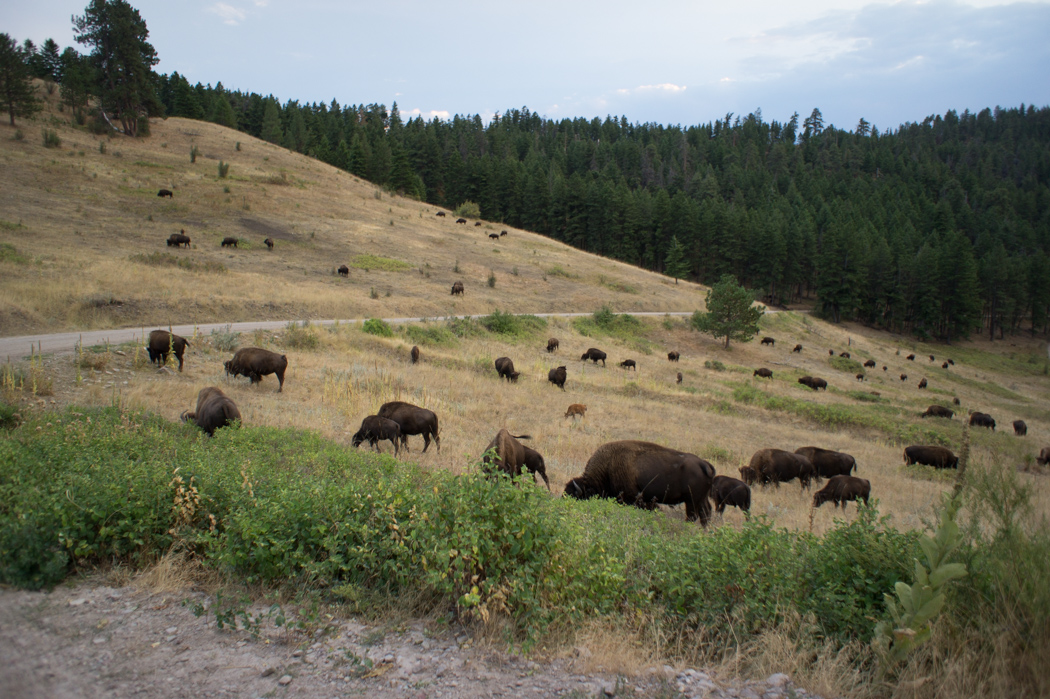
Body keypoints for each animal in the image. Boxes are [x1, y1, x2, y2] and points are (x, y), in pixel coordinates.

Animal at [562, 440, 718, 522]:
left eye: (574, 496)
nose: (564, 507)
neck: (608, 466)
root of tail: (704, 464)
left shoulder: (634, 498)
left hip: (691, 501)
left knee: (693, 516)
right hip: (700, 500)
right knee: (706, 513)